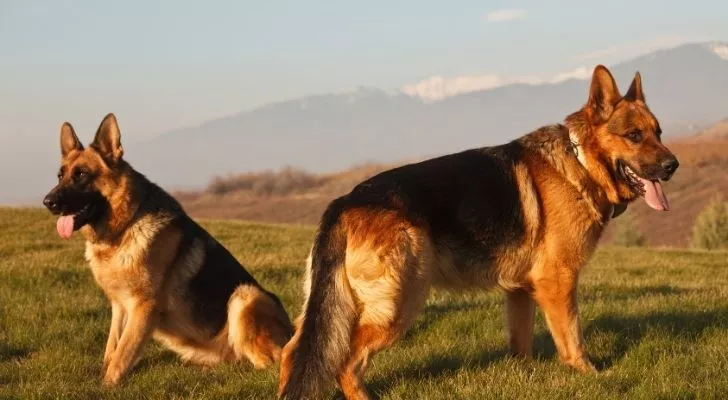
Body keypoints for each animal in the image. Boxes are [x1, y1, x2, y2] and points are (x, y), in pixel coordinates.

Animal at [42, 111, 292, 384]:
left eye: (81, 174)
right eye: (60, 175)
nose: (47, 202)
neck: (125, 227)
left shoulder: (143, 307)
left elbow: (121, 356)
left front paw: (105, 386)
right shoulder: (119, 307)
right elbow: (111, 349)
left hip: (245, 296)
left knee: (268, 363)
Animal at [278, 64, 676, 398]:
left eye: (659, 132)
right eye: (634, 135)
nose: (673, 165)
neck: (580, 162)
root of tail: (345, 202)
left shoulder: (521, 290)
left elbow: (521, 342)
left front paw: (525, 376)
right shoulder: (558, 282)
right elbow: (573, 337)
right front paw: (589, 375)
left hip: (339, 309)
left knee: (292, 351)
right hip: (397, 305)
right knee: (344, 364)